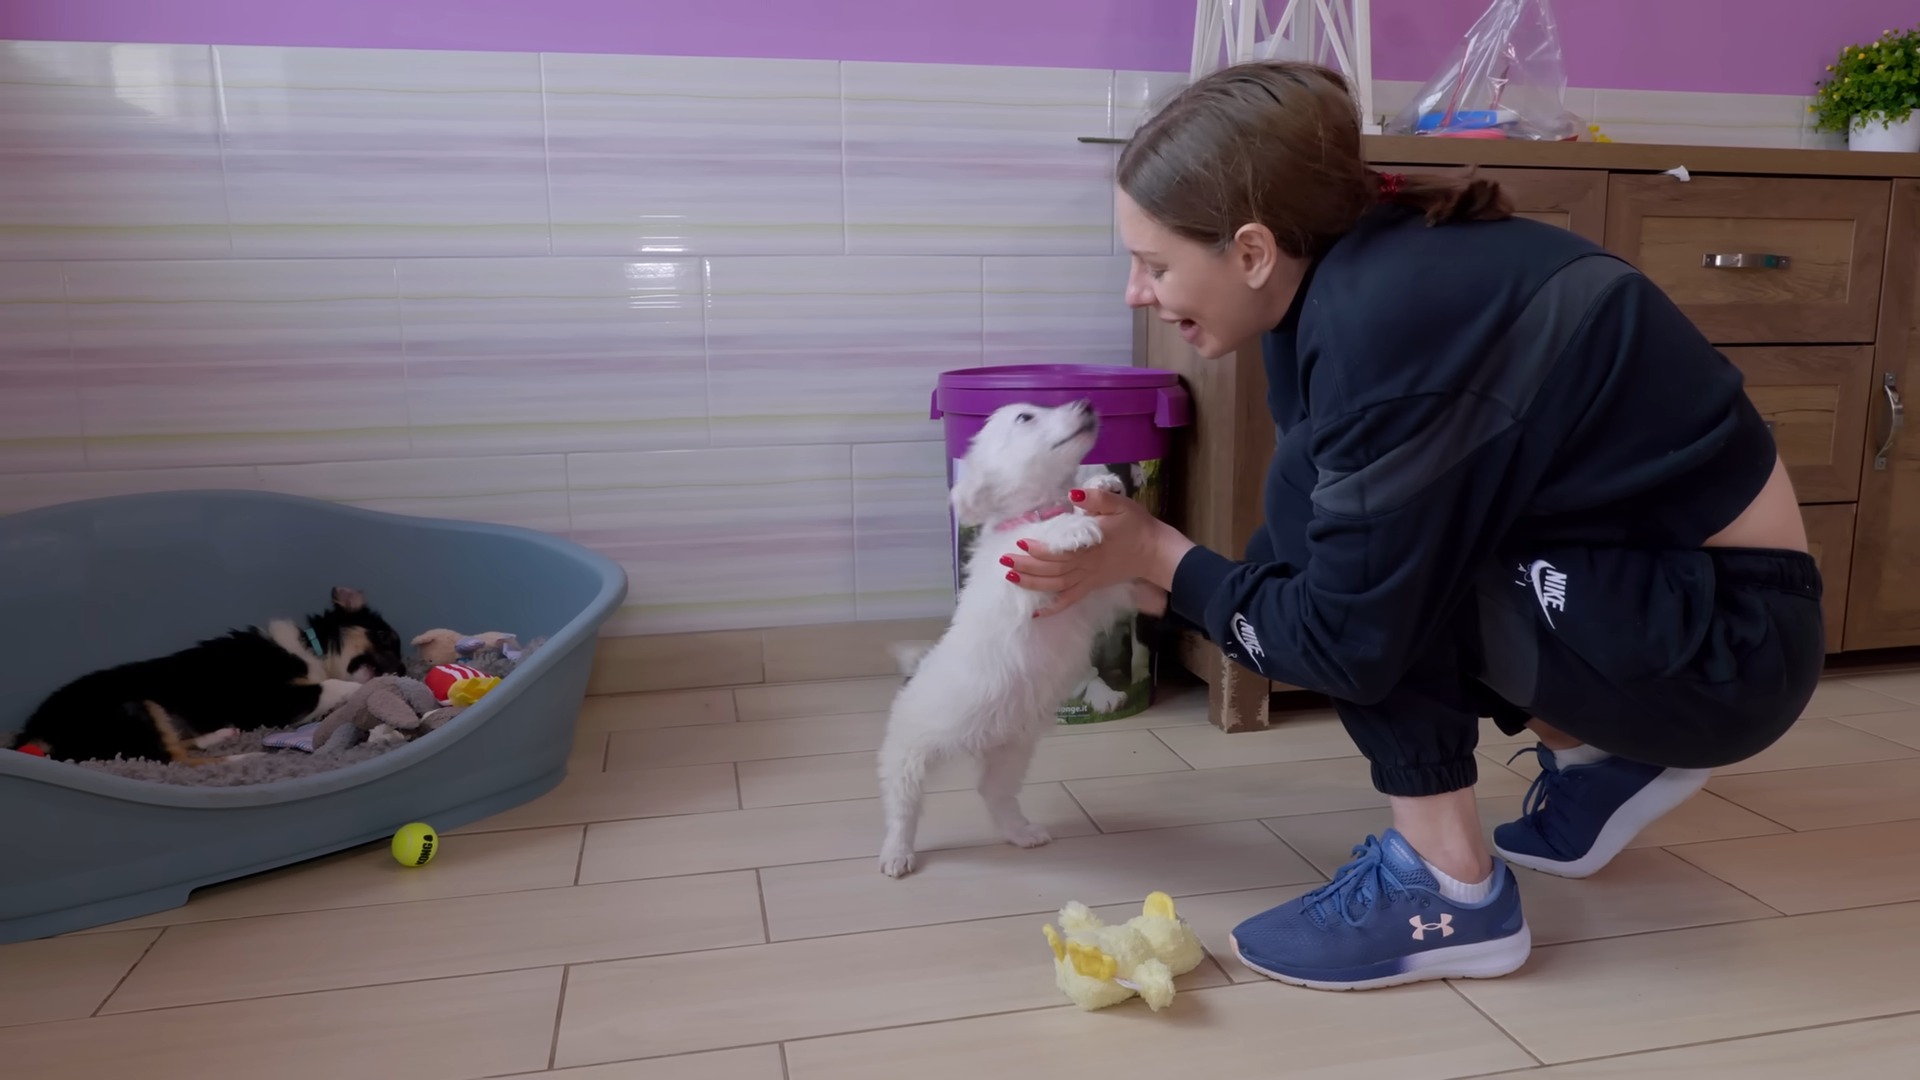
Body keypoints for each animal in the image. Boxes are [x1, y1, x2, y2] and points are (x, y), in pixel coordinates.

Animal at [9, 584, 407, 760]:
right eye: (385, 637)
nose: (405, 671)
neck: (313, 649)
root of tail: (32, 732)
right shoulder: (270, 699)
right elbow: (330, 685)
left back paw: (222, 737)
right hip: (134, 711)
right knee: (175, 766)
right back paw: (246, 757)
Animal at [879, 395, 1136, 876]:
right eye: (1025, 417)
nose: (1087, 402)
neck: (1037, 506)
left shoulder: (1101, 589)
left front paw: (1102, 488)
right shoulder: (1017, 577)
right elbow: (1035, 533)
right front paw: (1071, 526)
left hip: (1010, 752)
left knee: (993, 793)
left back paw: (1021, 832)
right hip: (911, 752)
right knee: (903, 804)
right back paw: (897, 853)